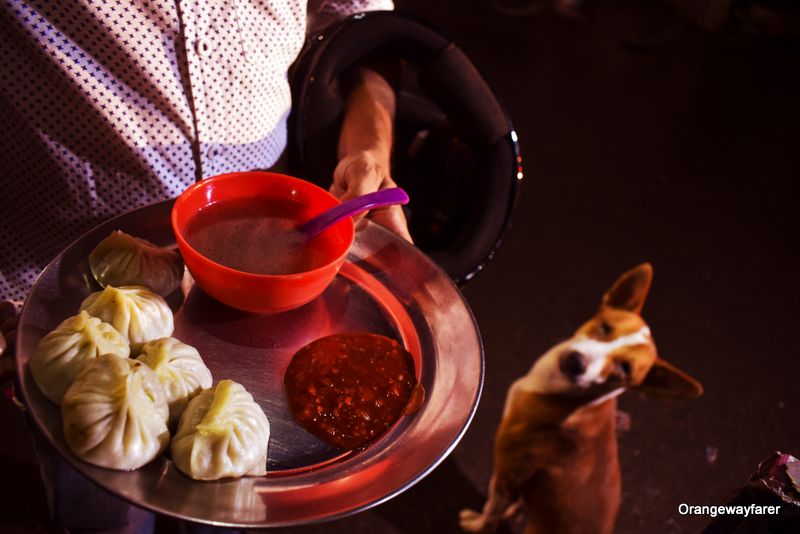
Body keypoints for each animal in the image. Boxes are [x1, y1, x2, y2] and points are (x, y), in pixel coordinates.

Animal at [460, 264, 704, 534]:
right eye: (605, 328)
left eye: (625, 368)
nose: (577, 363)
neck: (570, 397)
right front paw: (511, 511)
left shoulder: (507, 477)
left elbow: (491, 511)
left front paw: (476, 524)